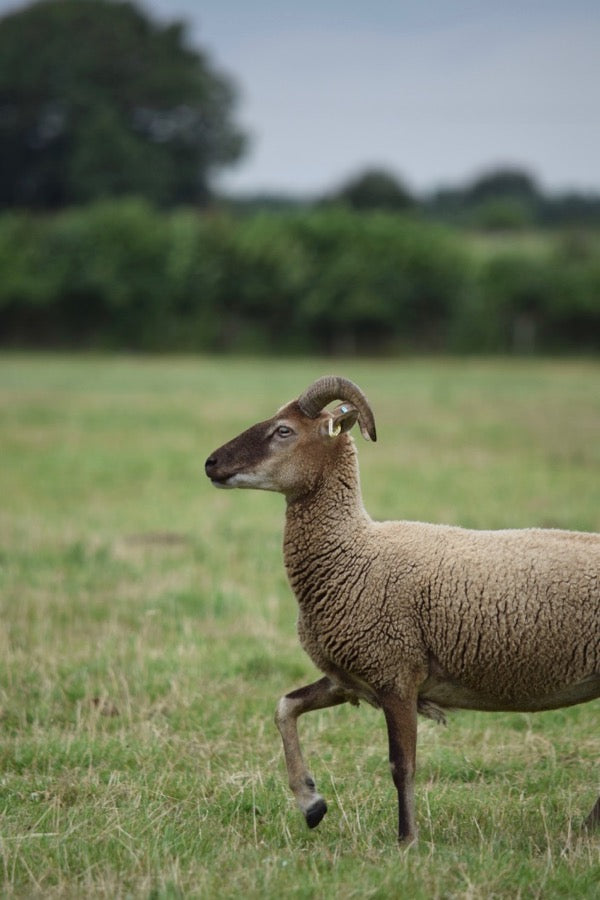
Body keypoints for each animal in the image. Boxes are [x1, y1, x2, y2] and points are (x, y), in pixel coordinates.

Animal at [204, 374, 596, 844]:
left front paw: (406, 840)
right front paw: (311, 803)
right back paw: (587, 829)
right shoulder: (352, 676)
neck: (354, 551)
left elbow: (400, 765)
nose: (210, 463)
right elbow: (285, 707)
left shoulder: (395, 672)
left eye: (284, 431)